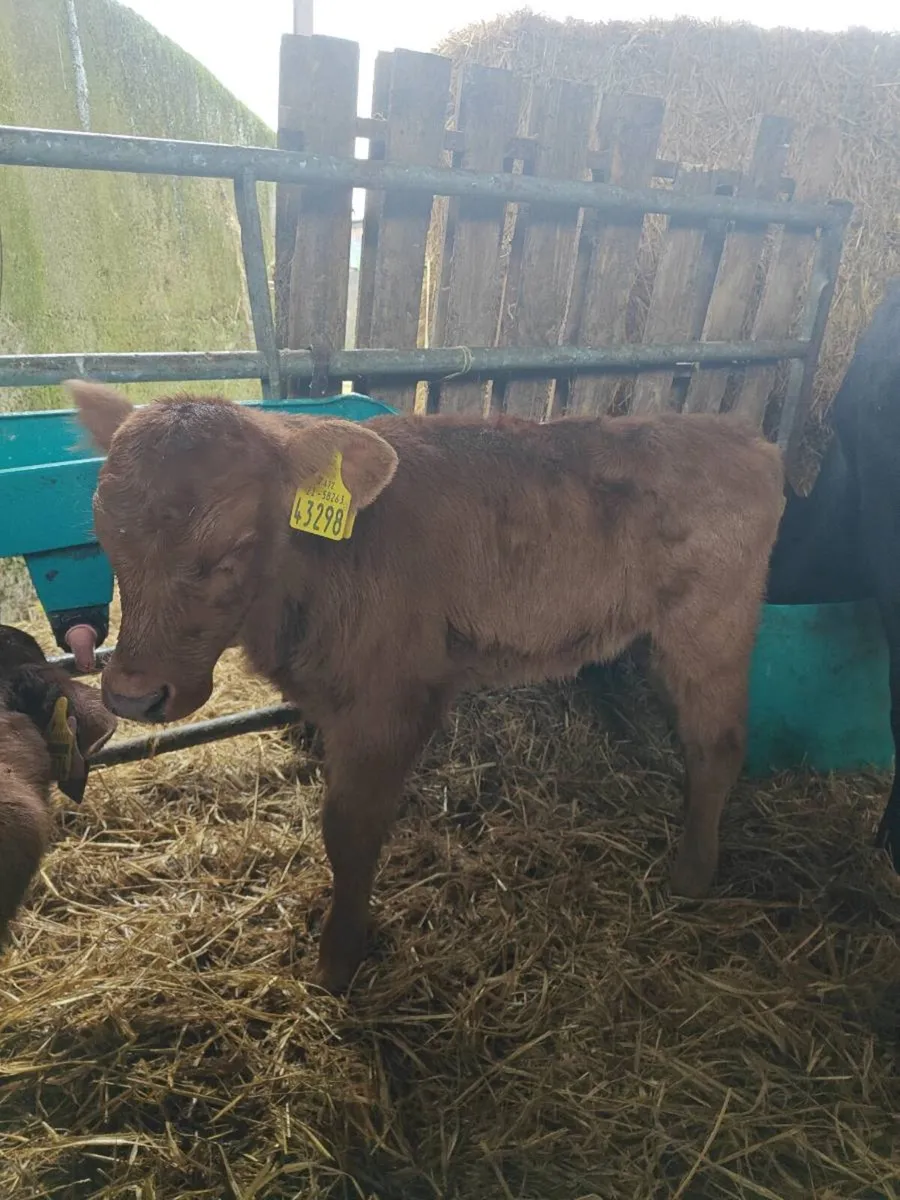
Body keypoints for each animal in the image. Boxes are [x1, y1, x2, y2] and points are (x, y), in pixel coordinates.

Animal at [69, 380, 785, 992]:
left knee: (718, 744)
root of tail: (745, 439)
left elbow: (349, 831)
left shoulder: (390, 701)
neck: (319, 570)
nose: (133, 694)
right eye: (103, 535)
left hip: (711, 629)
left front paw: (338, 959)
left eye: (235, 545)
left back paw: (691, 874)